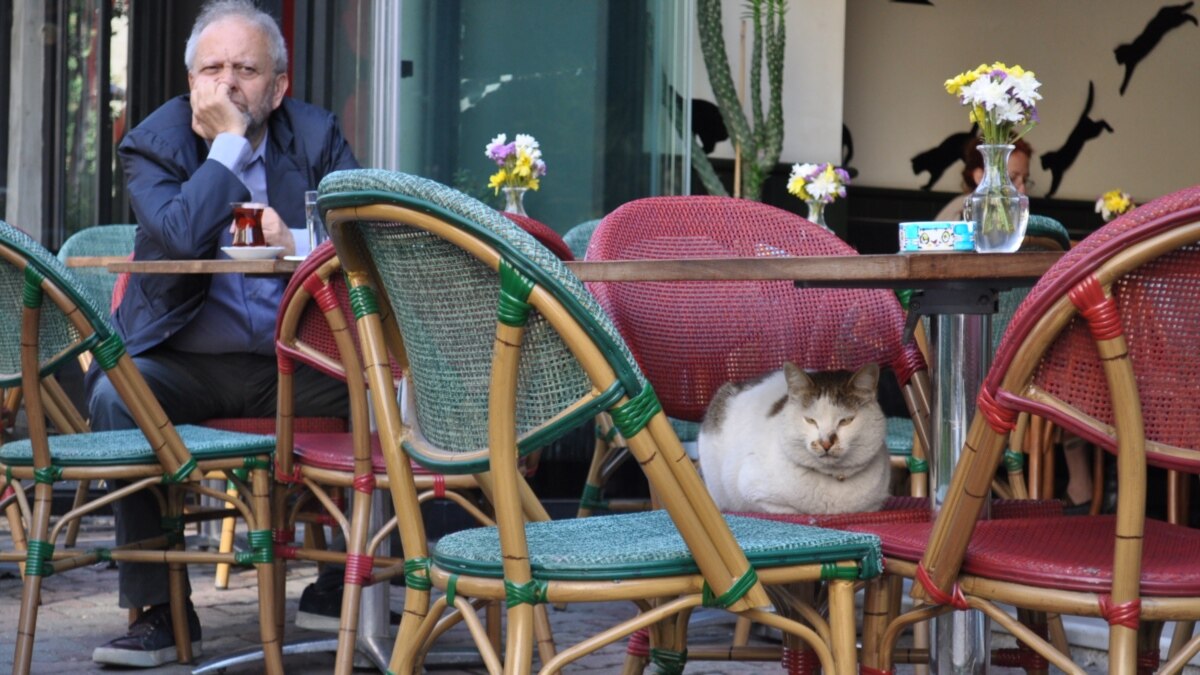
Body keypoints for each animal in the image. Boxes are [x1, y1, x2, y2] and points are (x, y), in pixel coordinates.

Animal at [696, 360, 892, 511]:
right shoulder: (757, 497)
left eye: (846, 421)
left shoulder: (874, 505)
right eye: (810, 420)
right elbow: (794, 511)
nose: (825, 442)